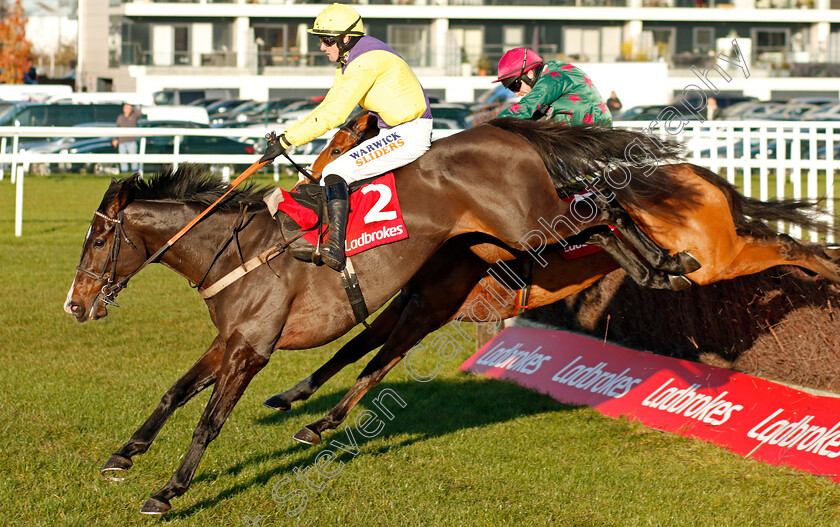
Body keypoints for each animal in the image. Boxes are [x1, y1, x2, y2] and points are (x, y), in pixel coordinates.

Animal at [62, 120, 688, 516]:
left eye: (99, 240)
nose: (75, 304)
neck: (235, 250)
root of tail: (502, 130)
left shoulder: (251, 348)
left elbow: (208, 421)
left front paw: (168, 491)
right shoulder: (232, 338)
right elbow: (174, 393)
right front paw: (124, 454)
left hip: (531, 223)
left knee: (604, 205)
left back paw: (666, 263)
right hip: (483, 259)